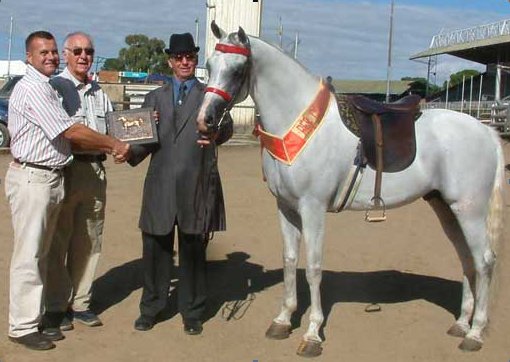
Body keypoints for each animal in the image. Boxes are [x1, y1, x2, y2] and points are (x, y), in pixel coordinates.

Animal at [197, 21, 504, 356]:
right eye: (209, 65)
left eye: (238, 69)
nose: (206, 119)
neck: (296, 123)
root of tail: (486, 130)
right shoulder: (286, 208)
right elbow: (290, 260)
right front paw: (283, 320)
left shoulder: (313, 208)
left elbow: (313, 266)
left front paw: (312, 334)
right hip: (446, 208)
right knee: (467, 259)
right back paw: (461, 323)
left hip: (469, 210)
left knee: (484, 260)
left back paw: (474, 333)